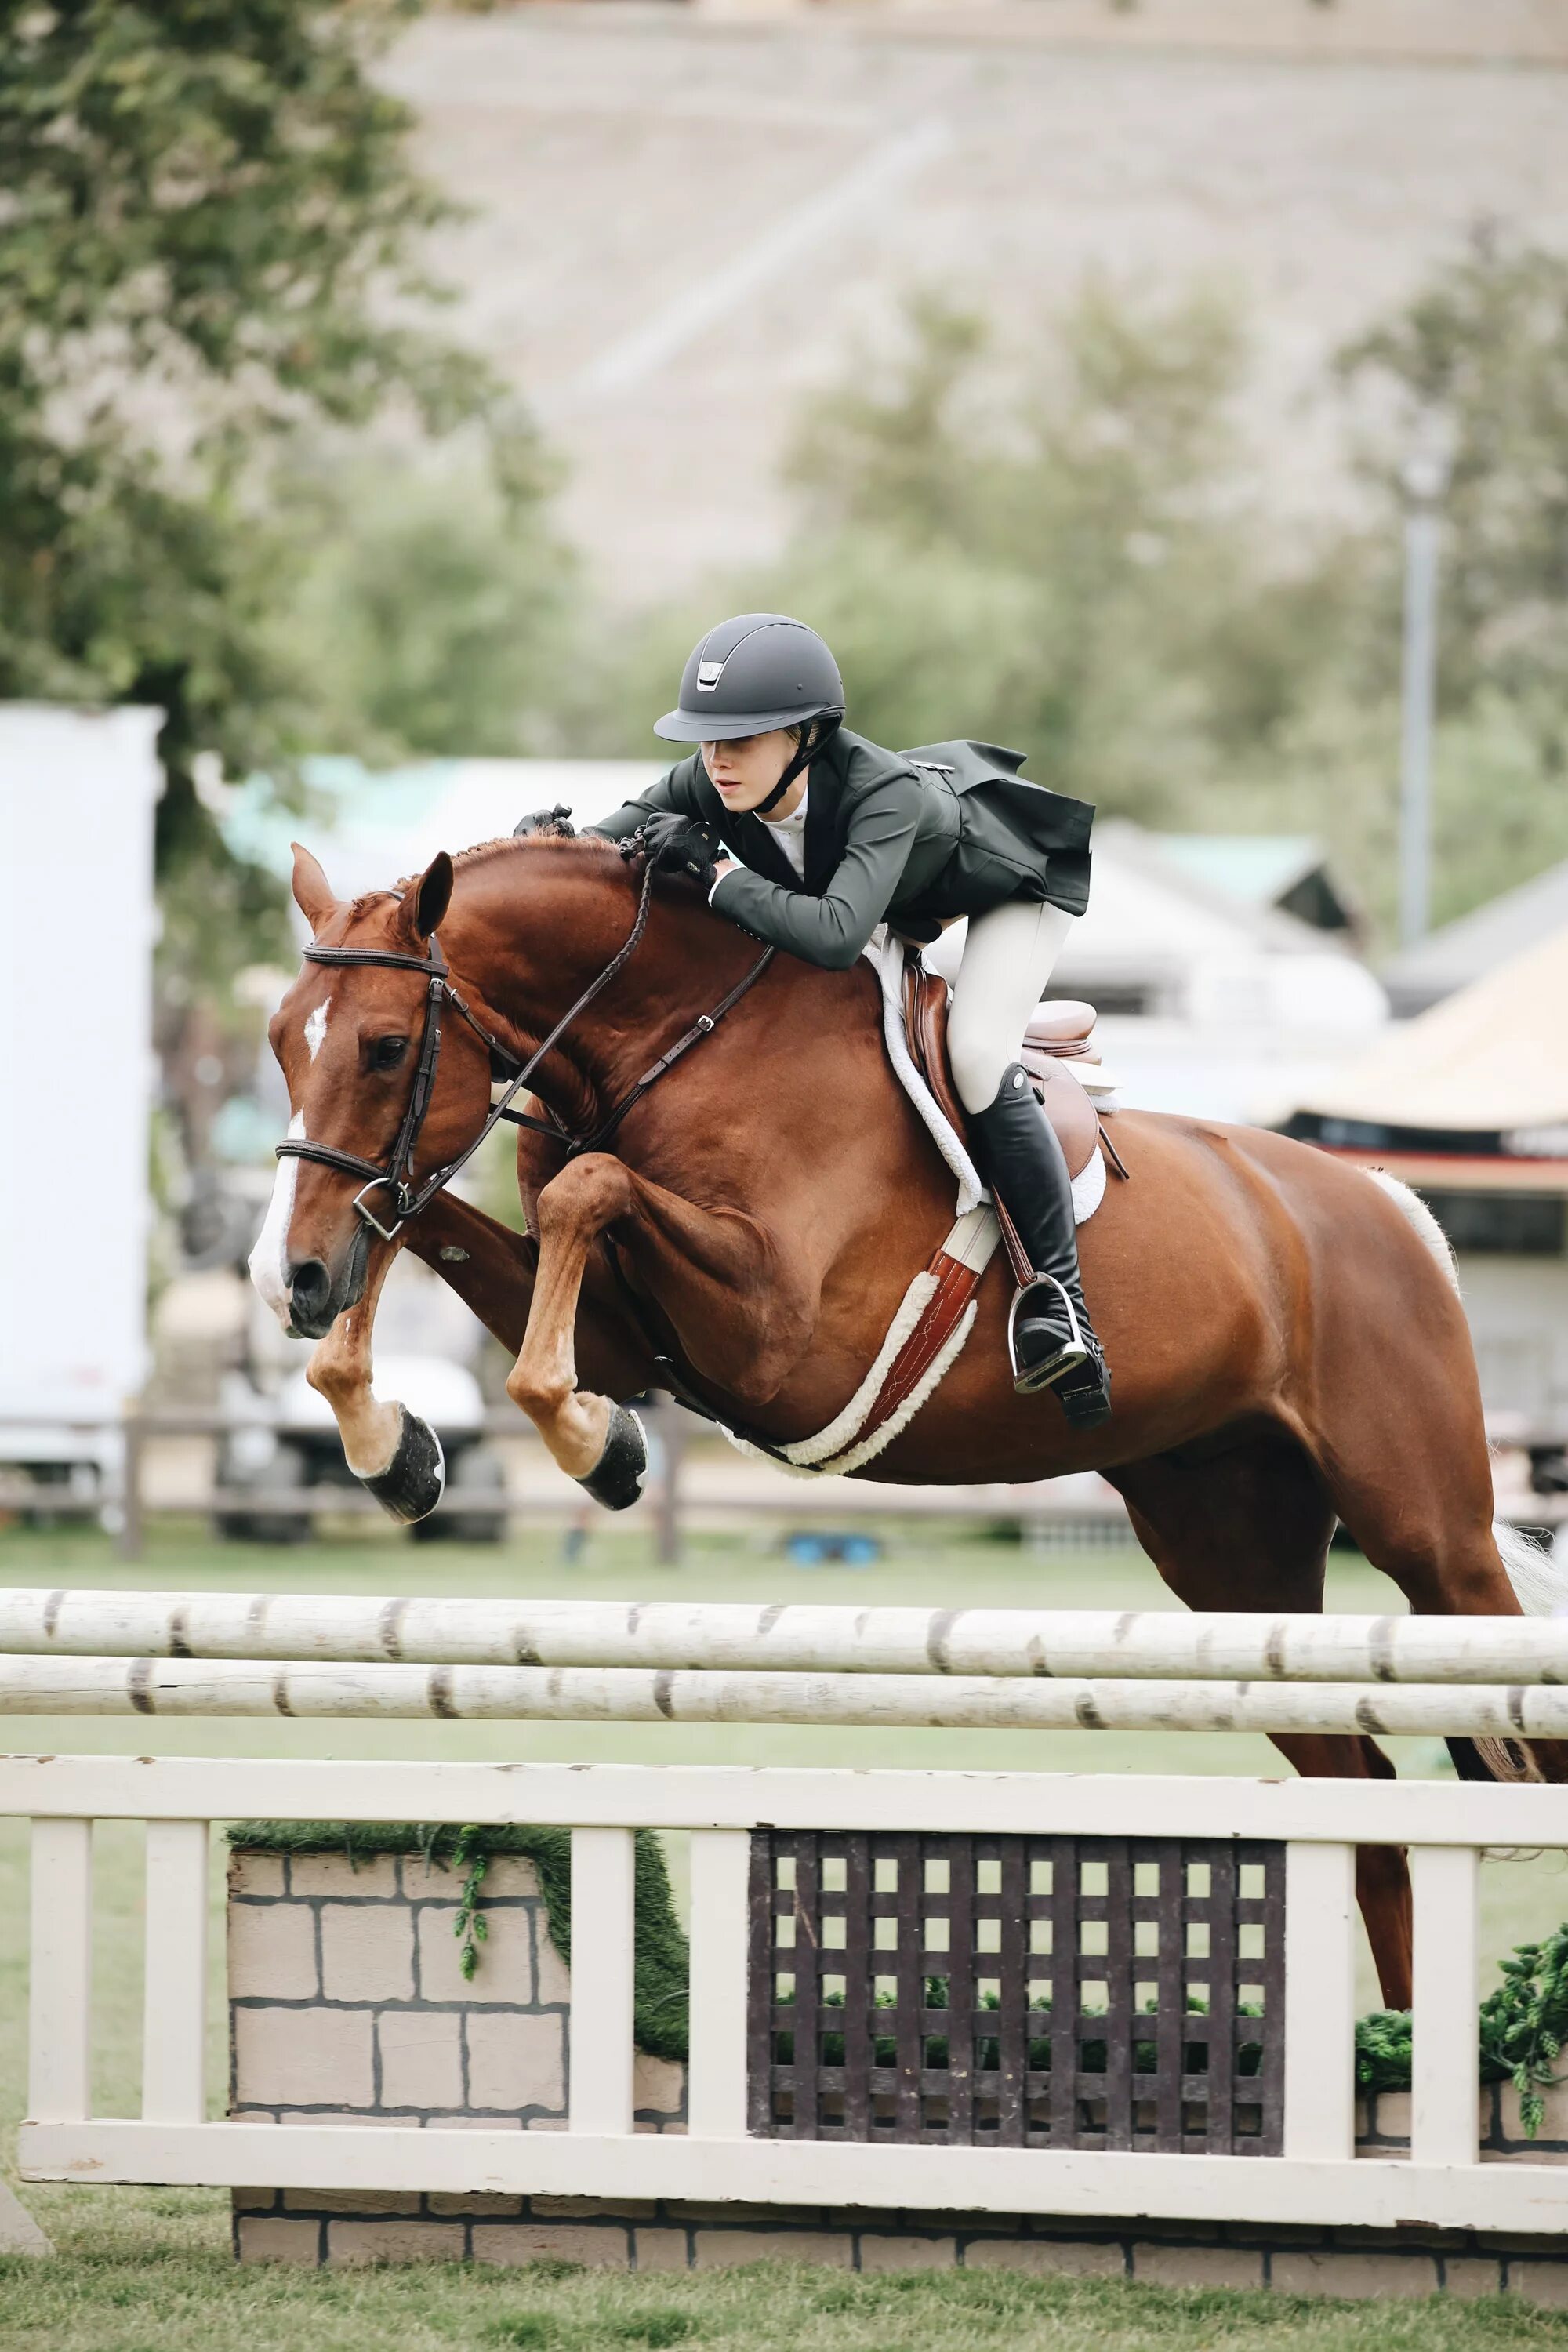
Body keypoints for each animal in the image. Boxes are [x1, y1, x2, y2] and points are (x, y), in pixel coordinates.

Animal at [251, 828, 1561, 2004]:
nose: (289, 1281)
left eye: (384, 1047)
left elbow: (583, 1198)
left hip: (1431, 1541)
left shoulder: (781, 1338)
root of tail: (1394, 1206)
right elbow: (418, 1214)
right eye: (278, 1039)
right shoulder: (630, 1335)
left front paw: (594, 1446)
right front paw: (394, 1446)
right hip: (1233, 1561)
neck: (677, 1041)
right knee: (1368, 1803)